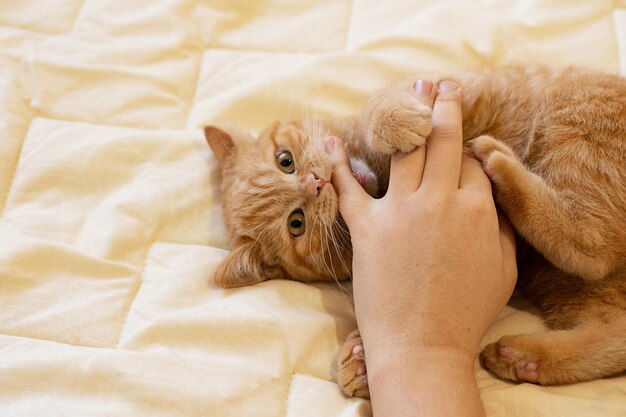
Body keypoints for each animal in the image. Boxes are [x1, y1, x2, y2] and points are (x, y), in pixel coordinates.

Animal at [205, 66, 624, 396]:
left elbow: (378, 104)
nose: (318, 183)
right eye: (296, 224)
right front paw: (359, 364)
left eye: (285, 161)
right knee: (602, 289)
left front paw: (394, 121)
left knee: (593, 248)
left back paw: (499, 163)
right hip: (563, 281)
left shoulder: (441, 85)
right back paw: (524, 358)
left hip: (578, 125)